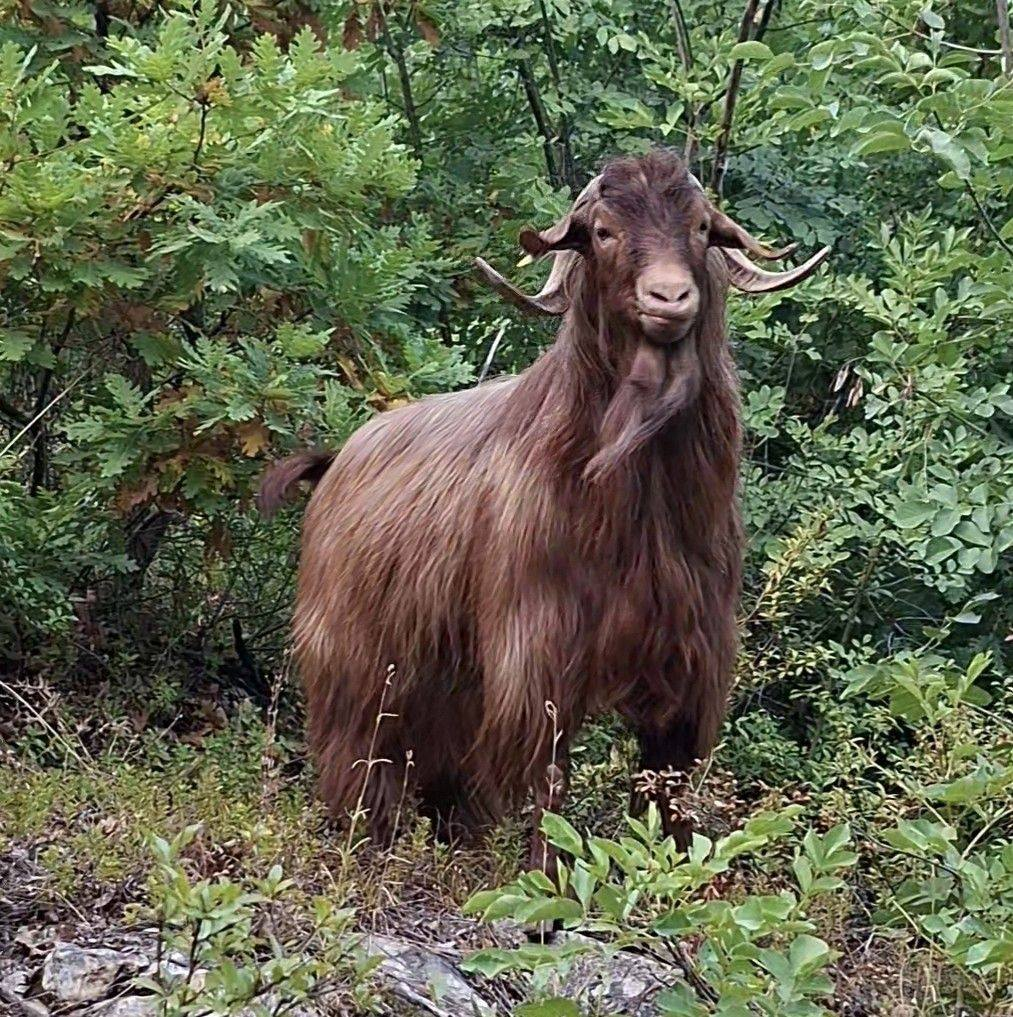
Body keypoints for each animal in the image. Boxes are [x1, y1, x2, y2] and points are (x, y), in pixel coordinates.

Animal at [259, 149, 829, 858]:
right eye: (604, 231)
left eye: (701, 227)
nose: (669, 298)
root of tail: (337, 460)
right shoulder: (539, 653)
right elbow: (549, 782)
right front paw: (548, 873)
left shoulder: (690, 660)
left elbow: (666, 785)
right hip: (357, 653)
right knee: (360, 749)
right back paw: (365, 840)